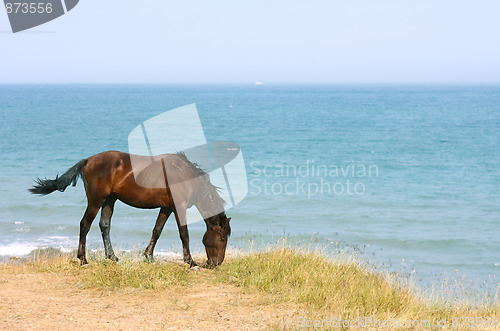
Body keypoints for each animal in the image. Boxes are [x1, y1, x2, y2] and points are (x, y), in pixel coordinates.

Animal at [27, 150, 230, 268]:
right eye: (221, 238)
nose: (217, 263)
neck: (185, 176)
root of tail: (88, 160)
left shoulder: (166, 208)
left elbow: (157, 230)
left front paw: (149, 256)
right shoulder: (178, 207)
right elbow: (184, 234)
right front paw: (191, 262)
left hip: (110, 200)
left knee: (104, 225)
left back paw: (112, 257)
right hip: (96, 201)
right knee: (84, 225)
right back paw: (83, 260)